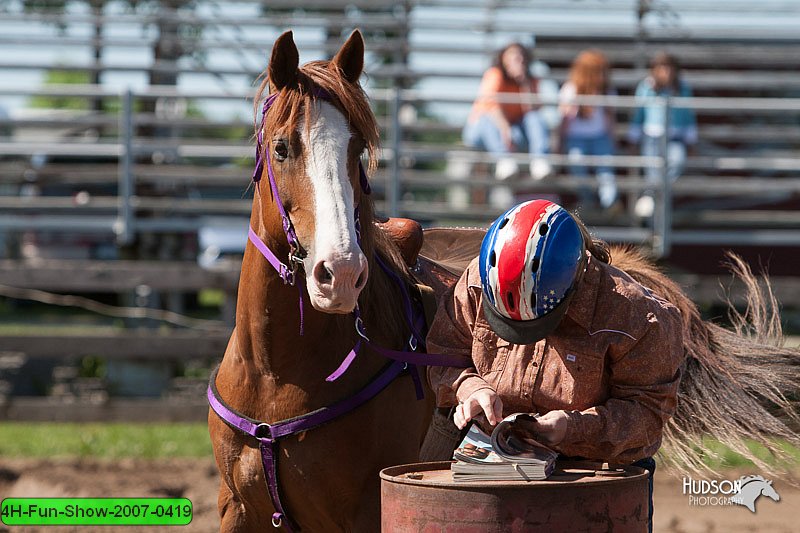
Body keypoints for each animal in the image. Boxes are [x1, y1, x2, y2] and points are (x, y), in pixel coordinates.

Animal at [208, 31, 438, 528]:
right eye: (281, 148)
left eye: (357, 150)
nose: (342, 273)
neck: (274, 375)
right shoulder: (235, 506)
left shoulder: (371, 510)